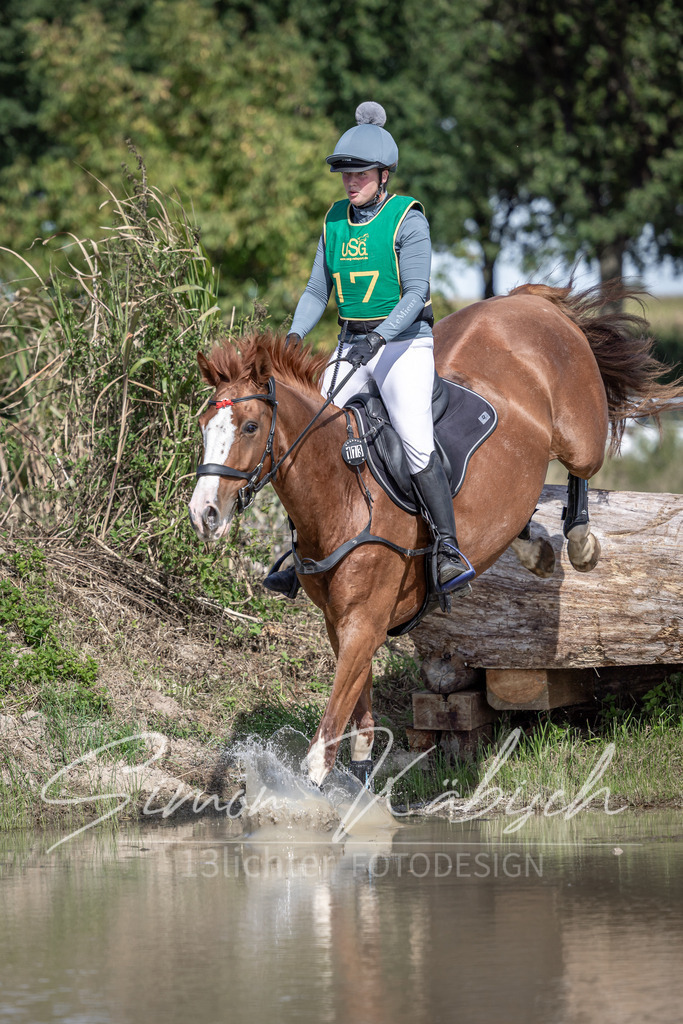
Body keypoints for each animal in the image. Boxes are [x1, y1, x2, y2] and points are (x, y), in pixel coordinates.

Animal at [188, 283, 681, 786]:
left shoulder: (364, 623)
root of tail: (526, 300)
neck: (342, 490)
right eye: (204, 427)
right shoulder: (339, 623)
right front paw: (362, 781)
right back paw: (532, 549)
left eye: (251, 427)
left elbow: (324, 745)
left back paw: (579, 545)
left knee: (583, 470)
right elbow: (360, 718)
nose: (203, 513)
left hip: (579, 434)